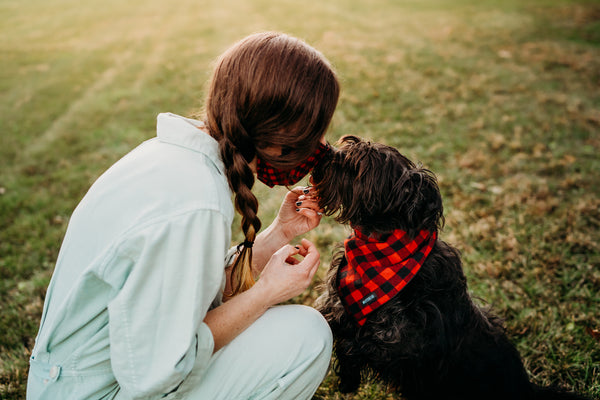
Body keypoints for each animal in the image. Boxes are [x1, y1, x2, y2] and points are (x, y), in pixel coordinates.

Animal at [312, 136, 588, 398]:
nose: (323, 153)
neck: (379, 250)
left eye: (356, 166)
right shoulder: (336, 305)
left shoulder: (401, 344)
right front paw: (347, 380)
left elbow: (355, 344)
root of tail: (526, 388)